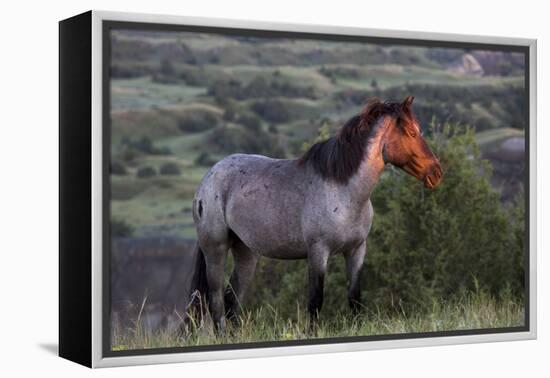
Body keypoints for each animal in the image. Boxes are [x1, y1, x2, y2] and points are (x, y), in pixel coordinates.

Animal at [185, 96, 444, 332]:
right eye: (411, 132)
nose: (437, 172)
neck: (343, 190)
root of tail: (209, 177)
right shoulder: (319, 252)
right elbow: (316, 300)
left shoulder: (356, 250)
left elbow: (355, 297)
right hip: (216, 249)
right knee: (216, 299)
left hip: (246, 252)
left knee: (231, 298)